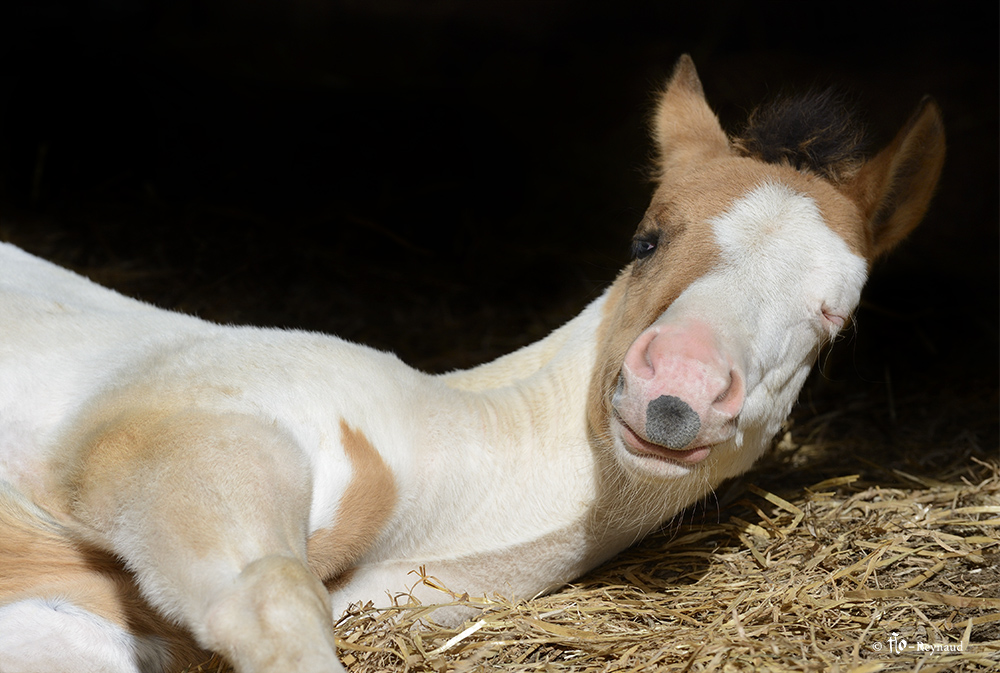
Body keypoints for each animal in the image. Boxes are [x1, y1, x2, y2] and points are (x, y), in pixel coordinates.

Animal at [0, 55, 945, 672]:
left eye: (835, 320)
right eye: (645, 239)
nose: (675, 395)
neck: (441, 468)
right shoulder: (187, 429)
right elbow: (269, 601)